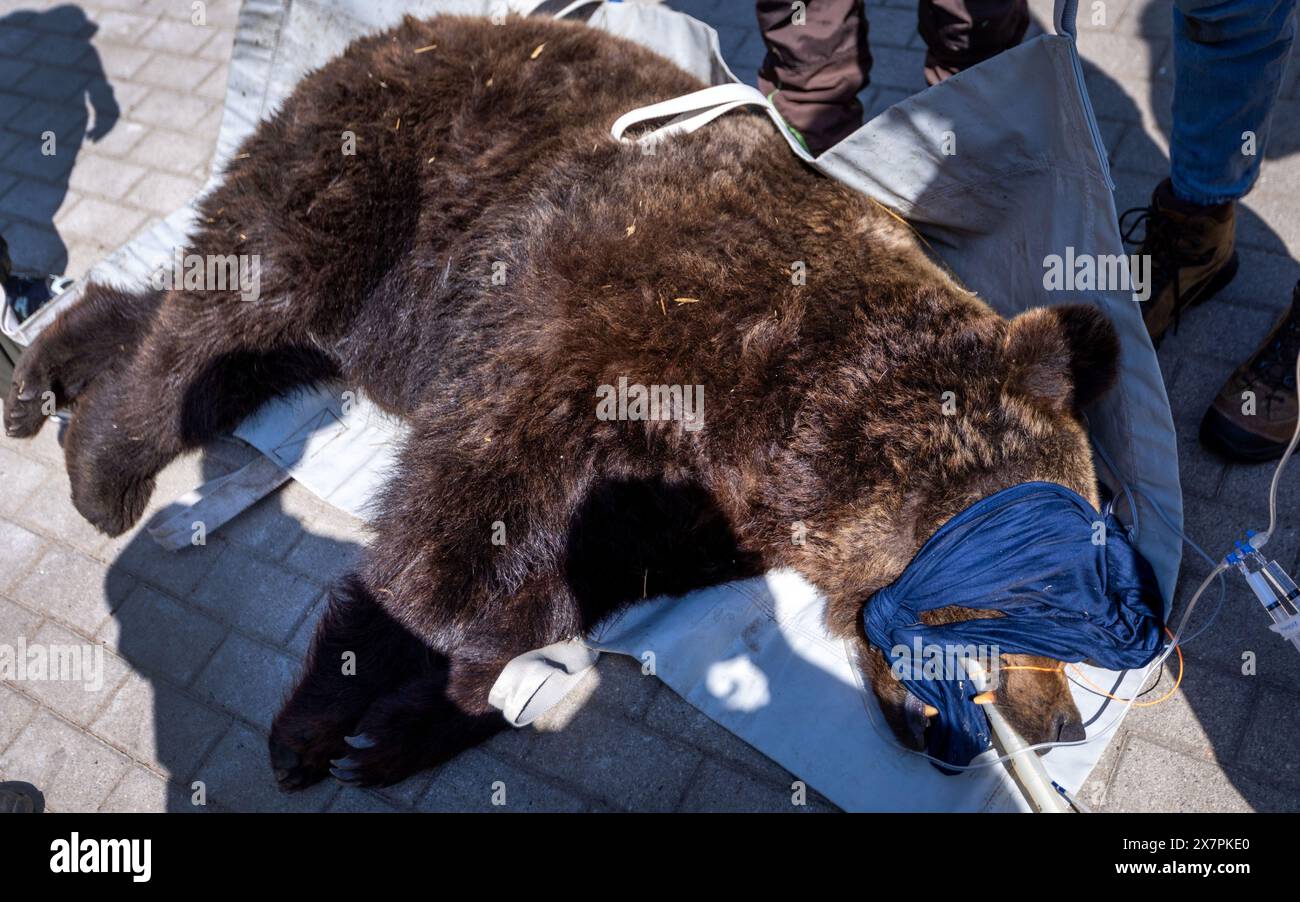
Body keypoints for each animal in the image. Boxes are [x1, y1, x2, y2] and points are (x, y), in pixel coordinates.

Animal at [5, 14, 1112, 790]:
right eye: (1059, 599)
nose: (1060, 722)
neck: (796, 410)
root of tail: (389, 35)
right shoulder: (611, 323)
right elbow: (460, 522)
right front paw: (324, 712)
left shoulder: (697, 504)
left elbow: (561, 584)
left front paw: (409, 725)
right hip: (374, 177)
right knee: (233, 308)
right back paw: (104, 465)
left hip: (373, 292)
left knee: (228, 325)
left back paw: (51, 366)